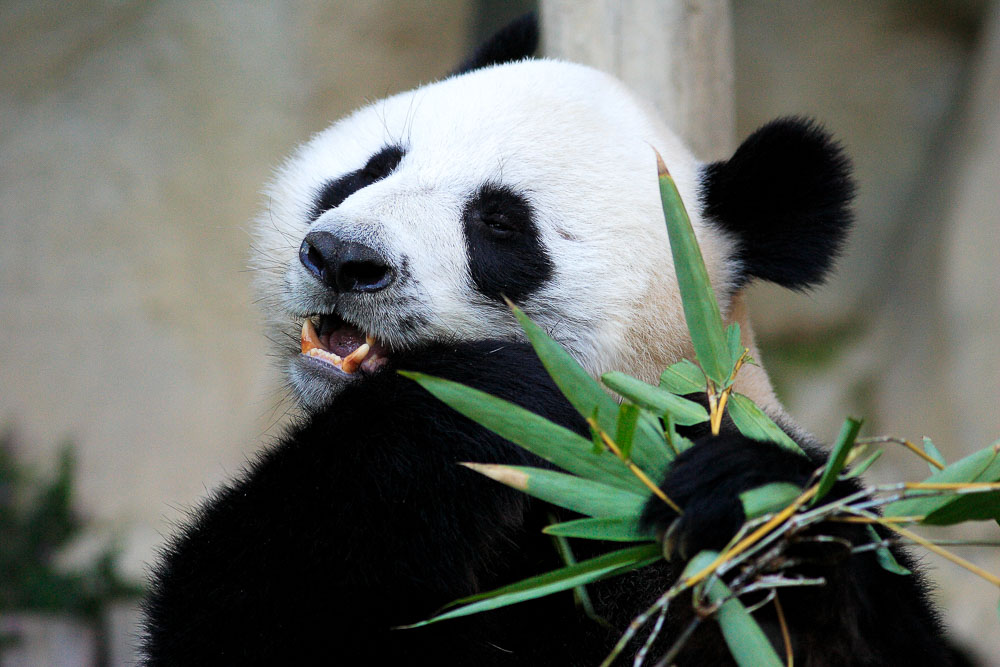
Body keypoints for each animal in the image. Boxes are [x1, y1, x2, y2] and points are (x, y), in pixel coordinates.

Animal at [141, 15, 960, 667]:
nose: (343, 258)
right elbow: (248, 604)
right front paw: (477, 394)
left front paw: (753, 504)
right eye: (371, 168)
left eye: (501, 223)